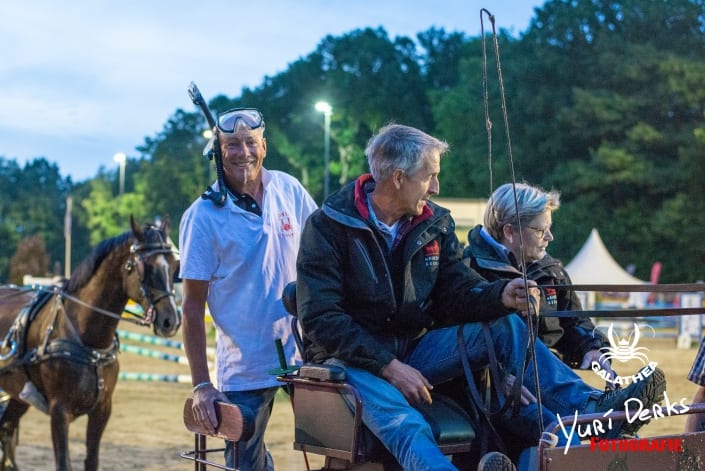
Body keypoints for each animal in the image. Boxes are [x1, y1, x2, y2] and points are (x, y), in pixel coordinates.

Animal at [0, 218, 182, 471]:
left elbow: (92, 460)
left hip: (18, 395)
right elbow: (64, 463)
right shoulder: (59, 412)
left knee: (6, 429)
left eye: (174, 266)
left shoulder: (101, 410)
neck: (90, 344)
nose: (171, 321)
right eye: (144, 266)